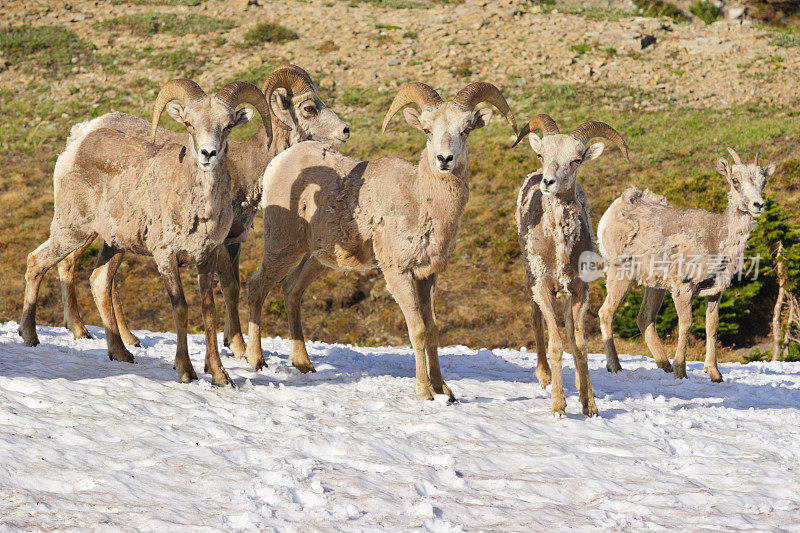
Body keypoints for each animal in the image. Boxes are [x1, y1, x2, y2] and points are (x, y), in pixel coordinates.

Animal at [16, 79, 268, 384]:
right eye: (189, 123)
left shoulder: (206, 259)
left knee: (99, 282)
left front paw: (220, 376)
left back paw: (121, 353)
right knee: (36, 261)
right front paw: (186, 371)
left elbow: (209, 311)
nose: (208, 154)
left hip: (113, 244)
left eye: (228, 125)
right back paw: (29, 336)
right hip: (72, 232)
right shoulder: (166, 258)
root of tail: (74, 147)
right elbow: (181, 307)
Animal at [53, 63, 346, 362]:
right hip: (86, 228)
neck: (245, 169)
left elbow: (232, 288)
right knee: (68, 264)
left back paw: (128, 340)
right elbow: (230, 288)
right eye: (309, 108)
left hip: (114, 236)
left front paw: (232, 343)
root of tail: (77, 139)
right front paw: (239, 348)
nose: (345, 130)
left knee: (105, 281)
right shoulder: (219, 245)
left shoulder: (233, 241)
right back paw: (80, 330)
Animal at [247, 81, 516, 400]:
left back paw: (304, 364)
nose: (444, 160)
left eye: (466, 129)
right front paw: (425, 391)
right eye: (427, 130)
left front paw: (445, 390)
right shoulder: (398, 273)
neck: (420, 201)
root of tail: (280, 162)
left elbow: (433, 329)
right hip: (282, 247)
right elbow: (418, 330)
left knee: (291, 291)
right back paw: (255, 359)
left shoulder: (428, 276)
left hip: (317, 259)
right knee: (256, 287)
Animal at [512, 113, 632, 416]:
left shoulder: (579, 292)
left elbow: (579, 345)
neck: (560, 253)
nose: (548, 182)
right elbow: (556, 345)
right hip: (531, 282)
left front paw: (589, 406)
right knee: (536, 321)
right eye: (542, 154)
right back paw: (544, 377)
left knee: (569, 331)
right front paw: (559, 407)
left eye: (576, 160)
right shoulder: (543, 288)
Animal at [596, 147, 772, 382]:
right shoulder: (683, 288)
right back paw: (616, 367)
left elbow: (712, 326)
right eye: (735, 180)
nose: (758, 205)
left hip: (655, 285)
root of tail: (613, 209)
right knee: (606, 313)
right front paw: (681, 371)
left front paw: (715, 374)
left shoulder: (715, 291)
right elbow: (686, 324)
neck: (716, 238)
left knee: (645, 318)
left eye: (763, 181)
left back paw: (665, 366)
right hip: (621, 272)